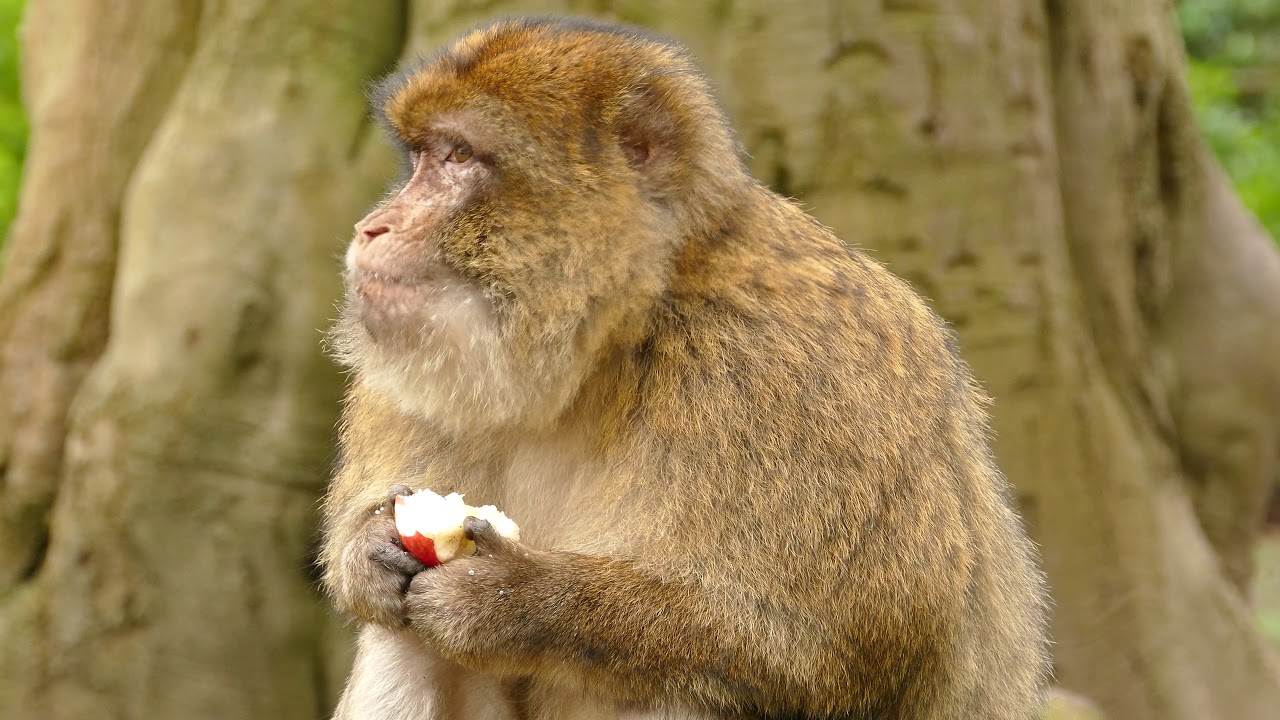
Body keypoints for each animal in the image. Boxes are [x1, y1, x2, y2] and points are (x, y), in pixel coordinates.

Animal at [319, 15, 1050, 720]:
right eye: (421, 156)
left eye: (459, 155)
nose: (372, 227)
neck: (616, 340)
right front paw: (369, 550)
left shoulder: (792, 374)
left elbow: (840, 651)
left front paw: (512, 599)